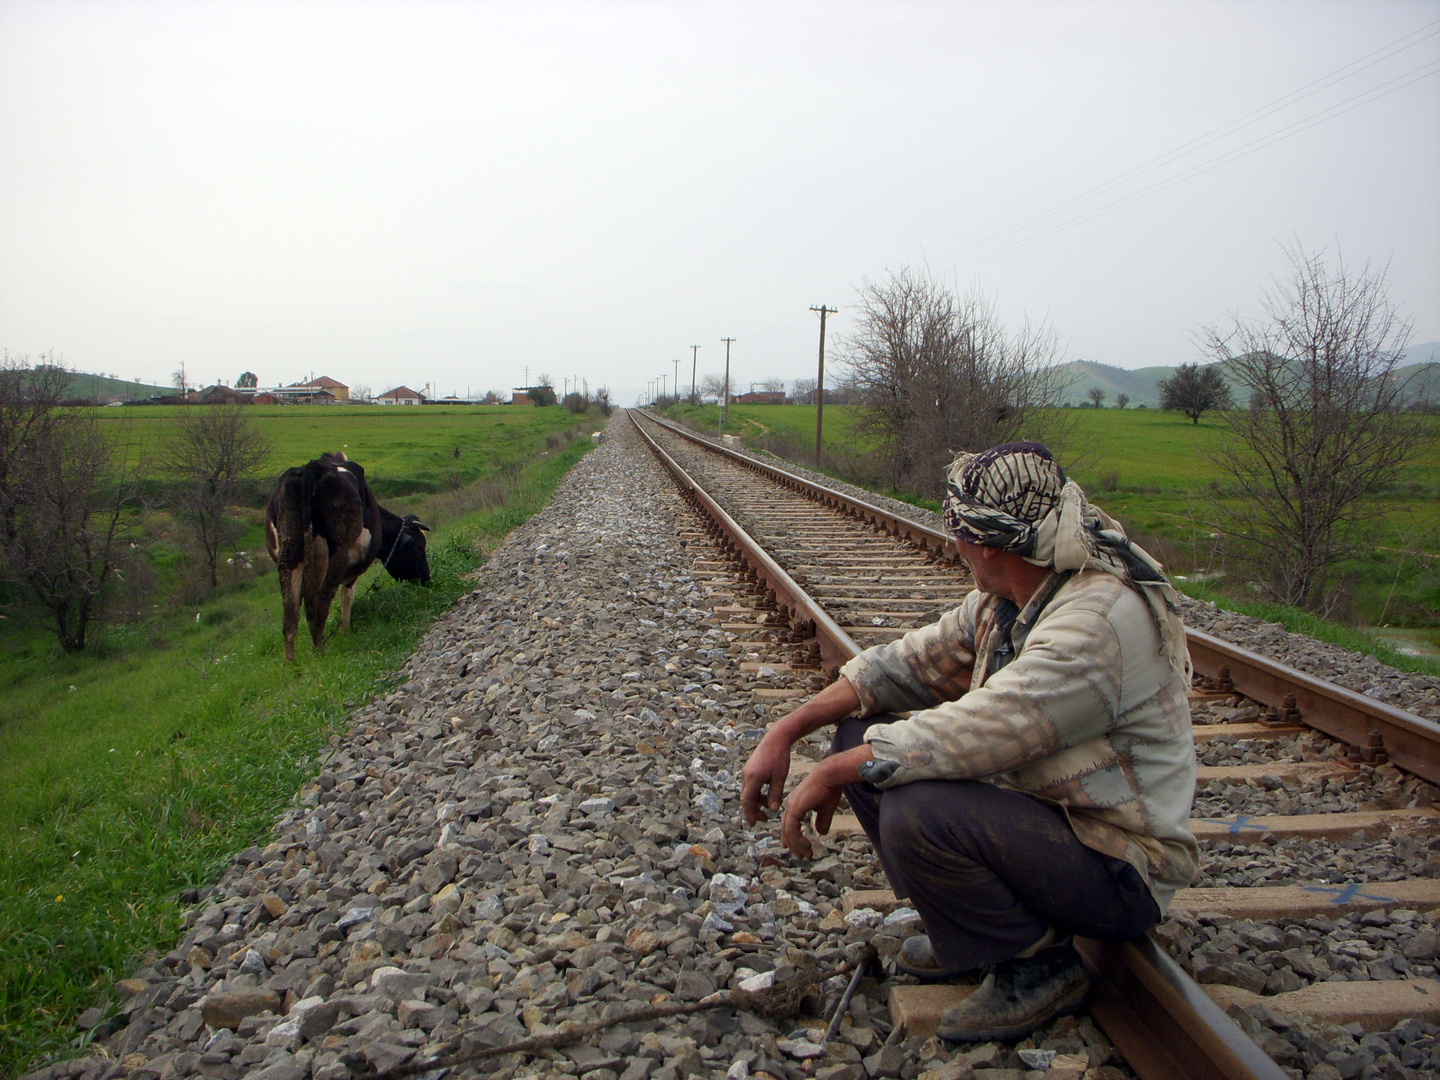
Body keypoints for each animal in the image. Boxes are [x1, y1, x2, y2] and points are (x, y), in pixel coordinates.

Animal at [264, 455, 429, 665]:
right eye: (420, 548)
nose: (427, 580)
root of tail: (311, 468)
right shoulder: (353, 569)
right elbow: (347, 598)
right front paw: (345, 632)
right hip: (337, 555)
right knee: (320, 604)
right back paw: (320, 652)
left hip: (289, 557)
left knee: (290, 612)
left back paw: (291, 663)